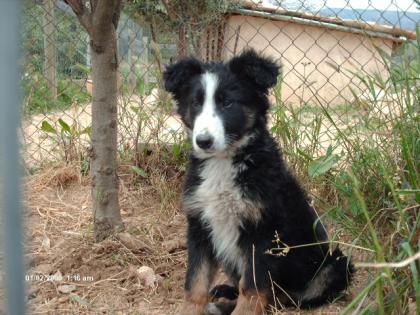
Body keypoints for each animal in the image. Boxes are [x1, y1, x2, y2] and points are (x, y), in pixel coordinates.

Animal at [162, 50, 352, 315]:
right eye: (196, 103)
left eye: (227, 103)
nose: (203, 141)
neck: (224, 162)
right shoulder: (200, 226)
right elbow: (195, 283)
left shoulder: (262, 232)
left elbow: (252, 287)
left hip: (336, 263)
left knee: (286, 297)